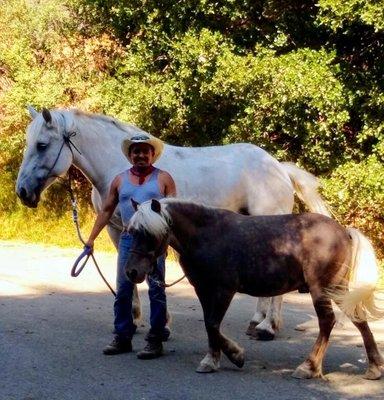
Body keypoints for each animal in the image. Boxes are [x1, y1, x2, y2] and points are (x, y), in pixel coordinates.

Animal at [13, 107, 328, 340]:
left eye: (42, 145)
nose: (23, 192)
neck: (121, 166)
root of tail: (278, 167)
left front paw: (161, 322)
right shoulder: (117, 230)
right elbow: (126, 272)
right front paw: (133, 320)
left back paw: (267, 327)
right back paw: (259, 321)